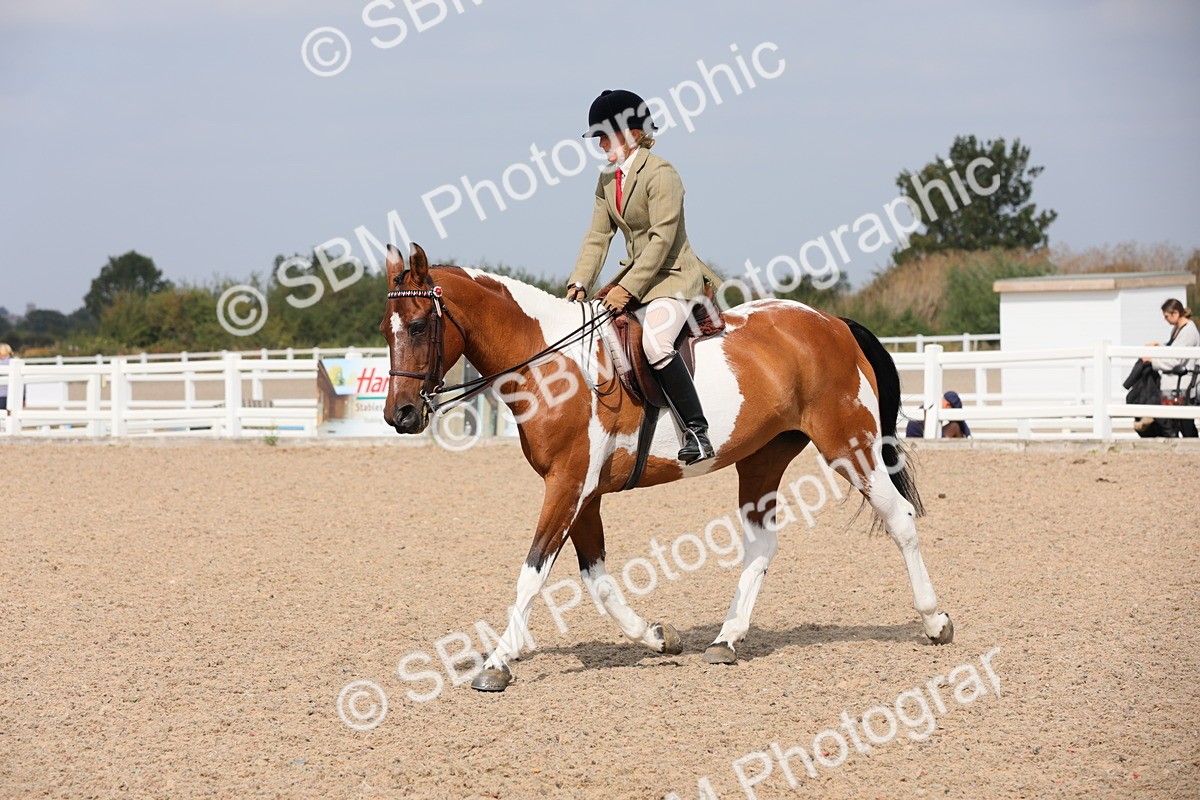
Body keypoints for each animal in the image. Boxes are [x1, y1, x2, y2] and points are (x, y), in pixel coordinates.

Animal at [380, 243, 953, 692]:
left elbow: (532, 573)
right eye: (386, 331)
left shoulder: (568, 485)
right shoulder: (584, 493)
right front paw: (657, 637)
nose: (399, 415)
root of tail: (831, 323)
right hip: (763, 459)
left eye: (418, 325)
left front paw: (498, 663)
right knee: (761, 544)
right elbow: (596, 578)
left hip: (850, 447)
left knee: (899, 518)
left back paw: (934, 620)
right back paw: (726, 639)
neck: (550, 363)